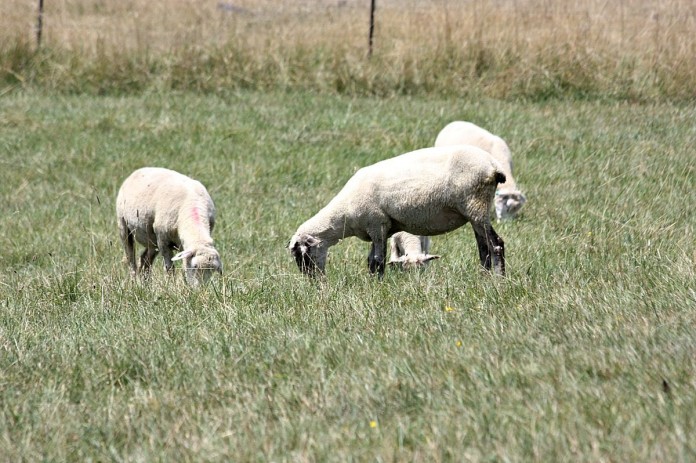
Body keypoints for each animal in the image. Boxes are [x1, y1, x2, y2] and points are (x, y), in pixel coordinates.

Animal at [288, 145, 506, 278]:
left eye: (302, 256)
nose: (314, 282)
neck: (343, 215)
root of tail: (493, 165)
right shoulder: (378, 229)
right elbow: (370, 261)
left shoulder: (377, 224)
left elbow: (377, 261)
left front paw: (378, 285)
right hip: (475, 210)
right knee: (484, 248)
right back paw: (484, 278)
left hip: (475, 204)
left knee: (496, 245)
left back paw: (499, 279)